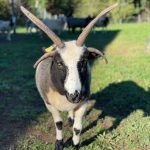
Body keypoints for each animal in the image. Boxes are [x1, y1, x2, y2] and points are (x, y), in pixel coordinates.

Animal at [20, 3, 118, 149]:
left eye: (83, 61)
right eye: (59, 63)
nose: (74, 95)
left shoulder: (83, 103)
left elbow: (77, 128)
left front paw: (75, 144)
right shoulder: (49, 105)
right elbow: (58, 124)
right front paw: (59, 143)